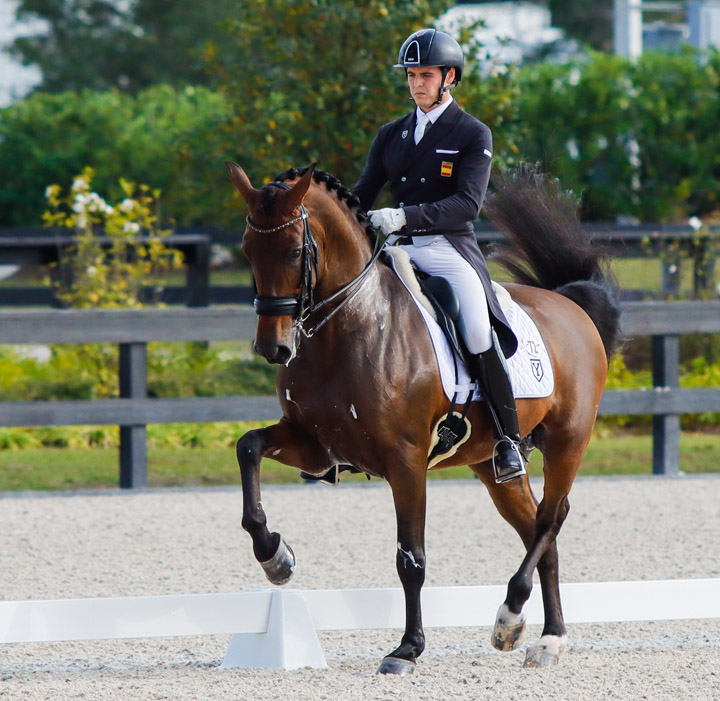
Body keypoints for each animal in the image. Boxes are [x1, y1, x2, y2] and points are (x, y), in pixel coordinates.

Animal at [228, 161, 620, 676]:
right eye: (247, 251)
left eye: (294, 250)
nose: (273, 348)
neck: (347, 328)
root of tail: (569, 305)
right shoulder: (316, 446)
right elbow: (248, 446)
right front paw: (275, 555)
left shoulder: (406, 461)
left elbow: (410, 559)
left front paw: (406, 650)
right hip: (492, 465)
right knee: (537, 527)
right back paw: (544, 637)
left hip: (568, 440)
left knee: (551, 518)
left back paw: (514, 617)